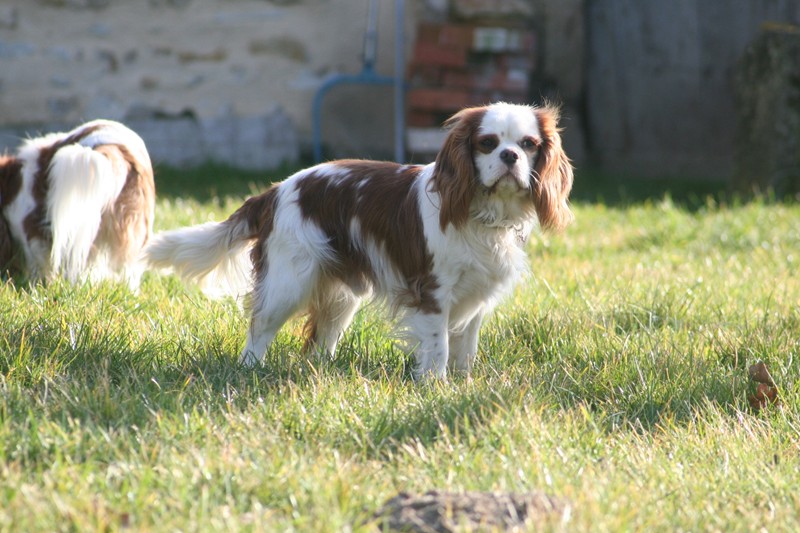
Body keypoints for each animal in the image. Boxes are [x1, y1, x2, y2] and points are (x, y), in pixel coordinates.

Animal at [142, 103, 568, 378]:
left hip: (341, 294)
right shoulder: (432, 291)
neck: (485, 214)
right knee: (259, 328)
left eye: (528, 144)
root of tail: (275, 190)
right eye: (487, 143)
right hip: (289, 281)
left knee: (318, 340)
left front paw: (463, 383)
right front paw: (436, 385)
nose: (510, 156)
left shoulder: (477, 296)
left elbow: (466, 347)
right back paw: (249, 370)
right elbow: (439, 347)